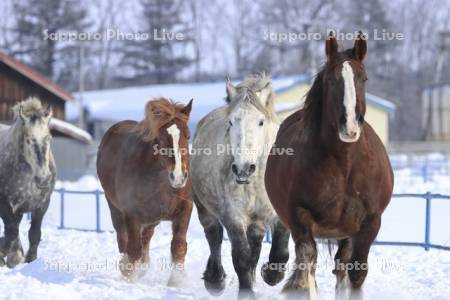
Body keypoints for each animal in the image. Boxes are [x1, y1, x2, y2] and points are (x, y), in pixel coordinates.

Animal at [97, 96, 192, 282]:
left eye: (188, 135)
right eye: (160, 139)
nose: (178, 177)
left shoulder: (185, 208)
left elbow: (178, 246)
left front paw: (176, 282)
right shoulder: (131, 213)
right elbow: (133, 249)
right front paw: (130, 277)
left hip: (151, 218)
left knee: (146, 238)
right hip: (116, 208)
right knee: (123, 239)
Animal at [266, 32, 392, 298]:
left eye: (363, 78)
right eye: (332, 80)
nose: (350, 126)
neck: (345, 166)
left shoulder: (369, 222)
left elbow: (356, 272)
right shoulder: (300, 218)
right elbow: (307, 267)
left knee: (341, 266)